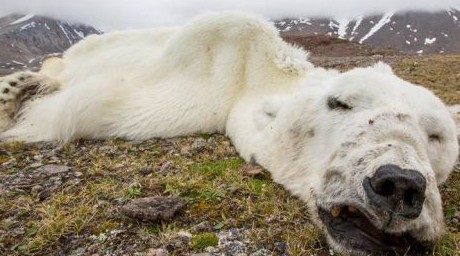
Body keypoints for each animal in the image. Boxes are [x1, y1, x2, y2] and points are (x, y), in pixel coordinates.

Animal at [0, 11, 458, 254]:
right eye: (340, 102)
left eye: (437, 135)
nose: (400, 185)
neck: (252, 75)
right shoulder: (201, 72)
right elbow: (90, 105)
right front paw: (17, 100)